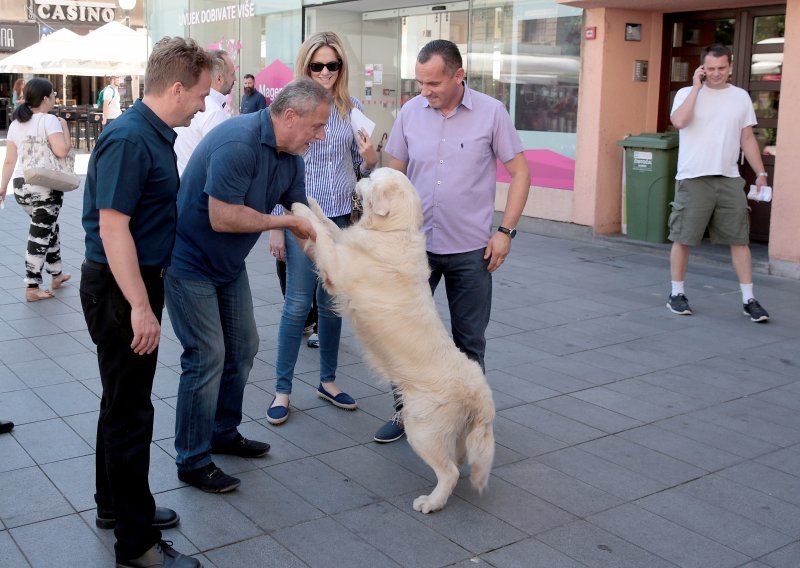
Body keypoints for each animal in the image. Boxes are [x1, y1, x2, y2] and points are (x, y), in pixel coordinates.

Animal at [294, 166, 494, 512]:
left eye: (373, 177)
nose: (361, 173)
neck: (393, 230)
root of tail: (479, 392)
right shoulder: (344, 248)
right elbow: (332, 227)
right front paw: (314, 203)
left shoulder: (337, 268)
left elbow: (323, 236)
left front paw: (299, 208)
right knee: (458, 458)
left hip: (422, 427)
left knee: (450, 471)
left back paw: (431, 502)